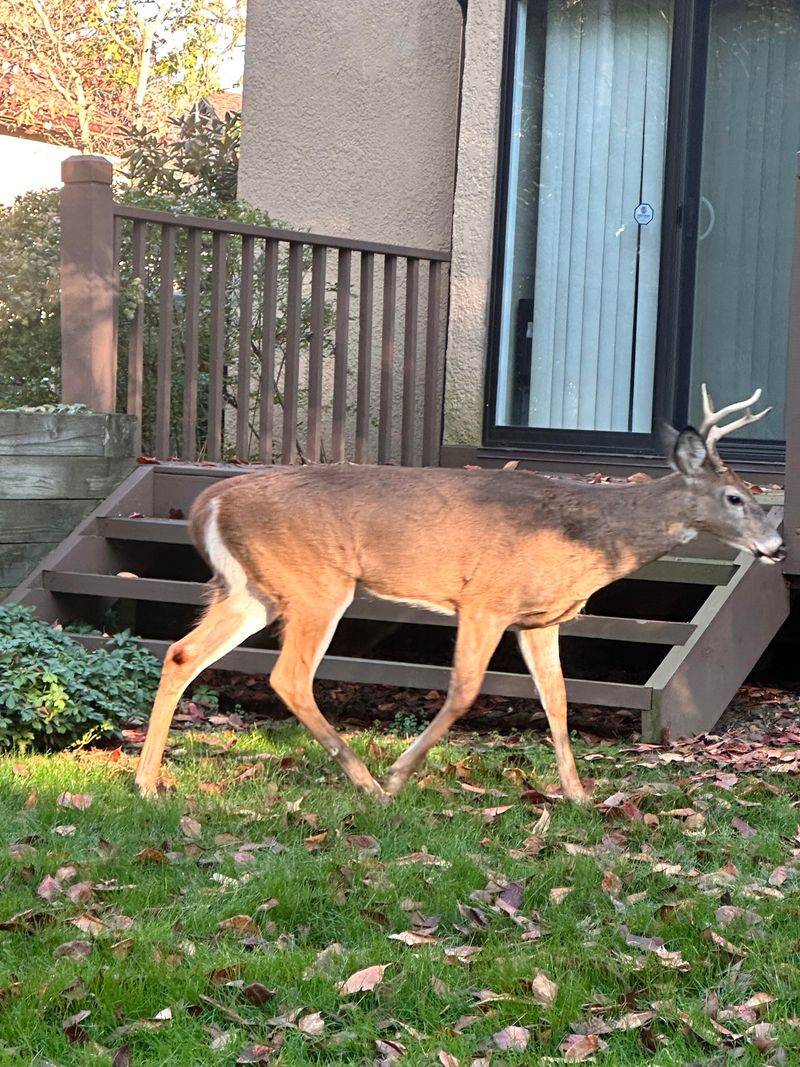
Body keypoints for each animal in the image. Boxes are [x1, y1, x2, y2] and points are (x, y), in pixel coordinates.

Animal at [134, 387, 785, 803]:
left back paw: (147, 782)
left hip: (252, 590)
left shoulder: (539, 619)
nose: (777, 544)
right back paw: (368, 783)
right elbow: (465, 691)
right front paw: (401, 775)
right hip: (316, 583)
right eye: (734, 497)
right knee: (287, 676)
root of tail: (208, 502)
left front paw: (577, 795)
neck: (589, 538)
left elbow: (558, 701)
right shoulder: (485, 600)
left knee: (182, 654)